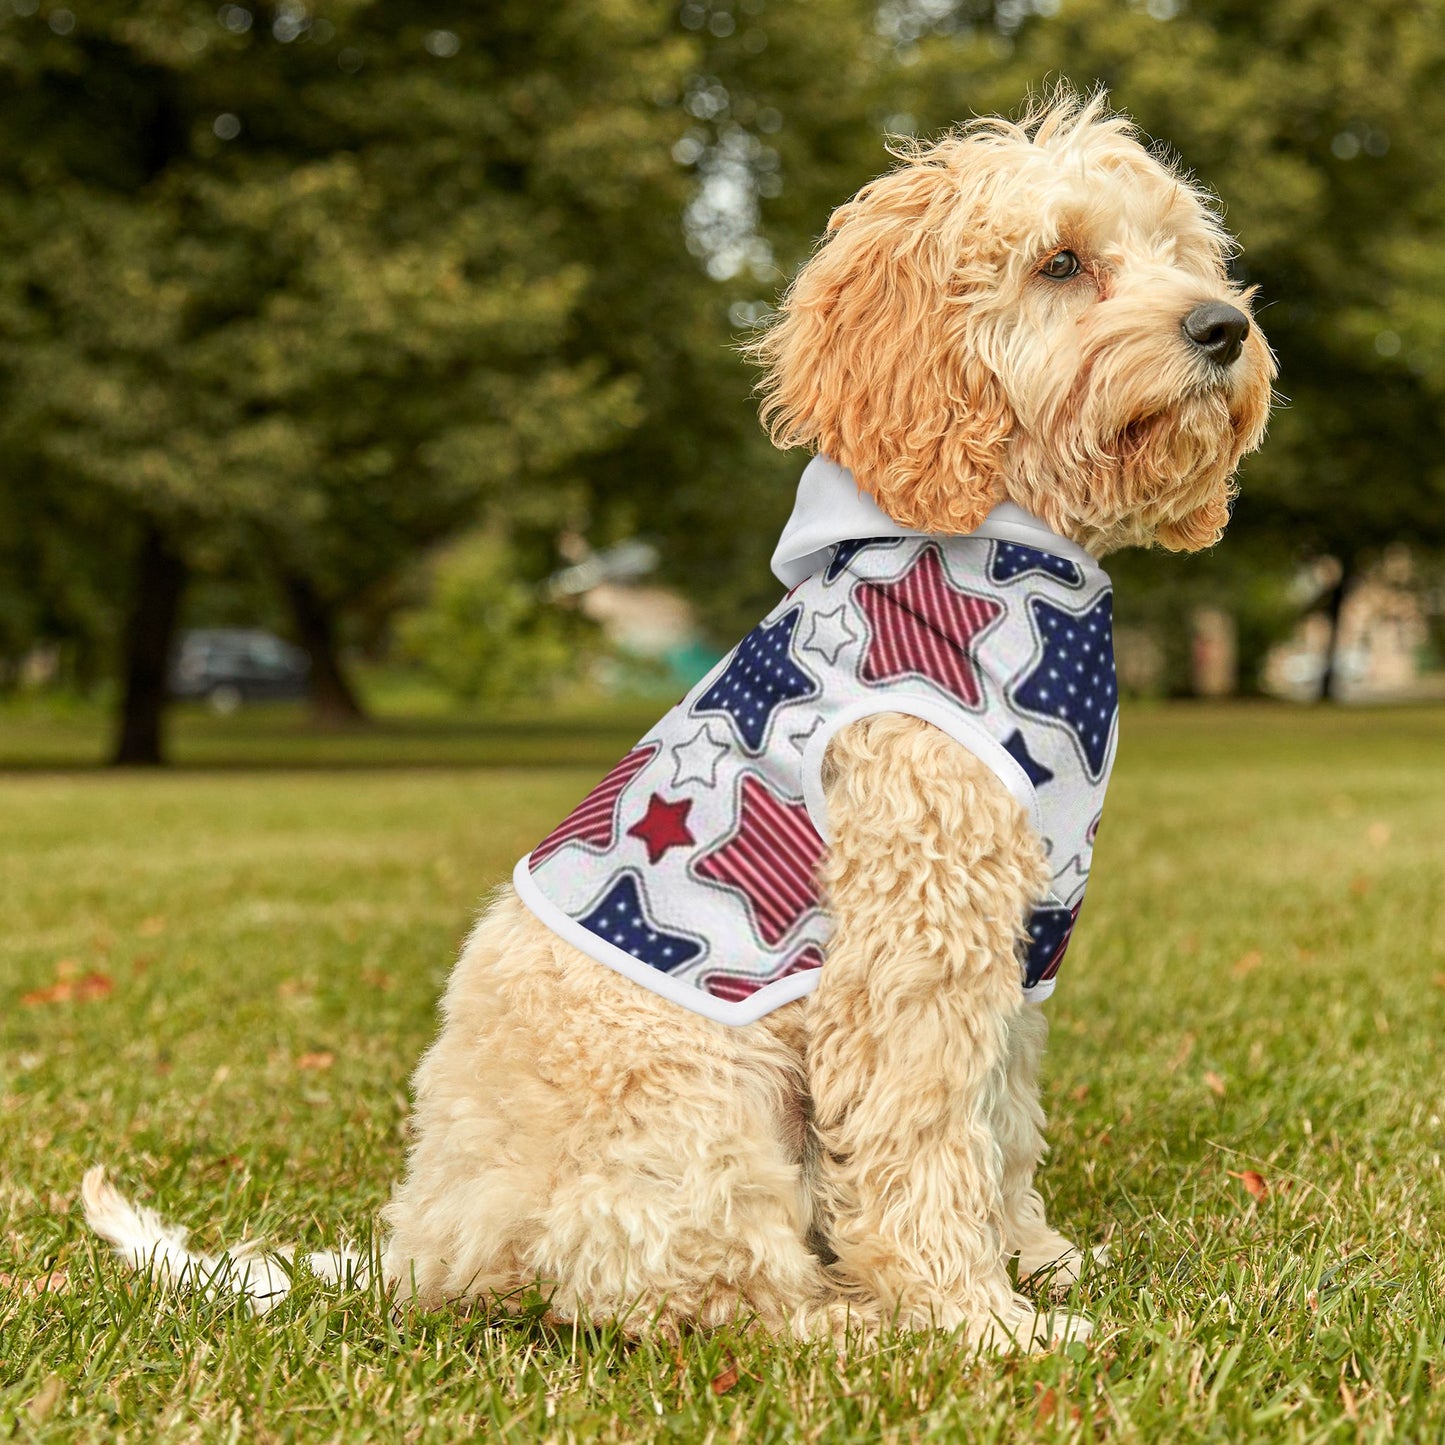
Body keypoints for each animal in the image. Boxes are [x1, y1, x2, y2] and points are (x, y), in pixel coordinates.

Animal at [84, 93, 1271, 1352]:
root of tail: (424, 1246)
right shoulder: (911, 943)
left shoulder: (1018, 938)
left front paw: (1035, 1259)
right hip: (703, 1100)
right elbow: (922, 1138)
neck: (1001, 557)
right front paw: (977, 1318)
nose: (1222, 327)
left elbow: (998, 1121)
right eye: (1060, 262)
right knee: (701, 1291)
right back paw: (852, 1322)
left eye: (1180, 253)